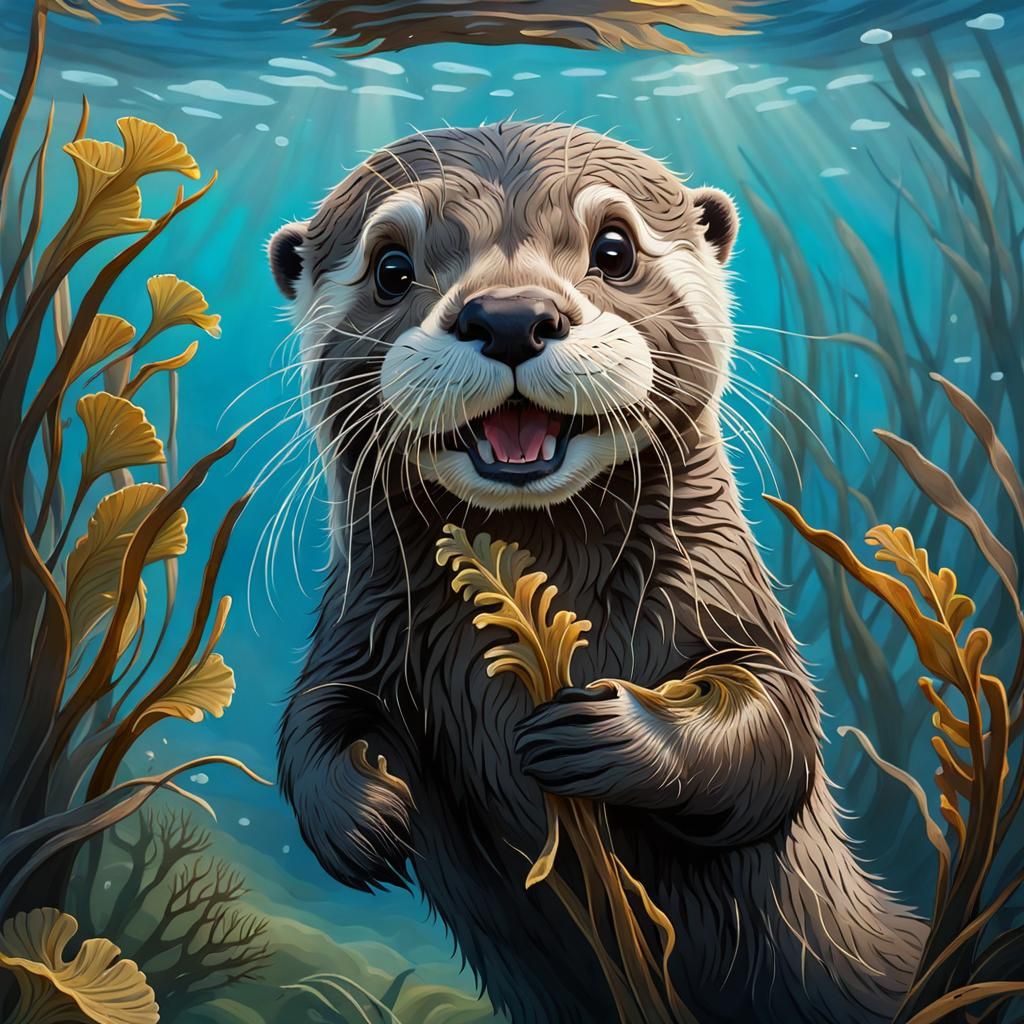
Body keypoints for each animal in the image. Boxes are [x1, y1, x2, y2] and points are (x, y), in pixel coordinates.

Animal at [270, 121, 924, 1024]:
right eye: (391, 266)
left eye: (614, 248)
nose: (511, 315)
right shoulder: (361, 624)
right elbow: (316, 719)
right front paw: (364, 811)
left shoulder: (726, 601)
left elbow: (773, 727)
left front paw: (604, 730)